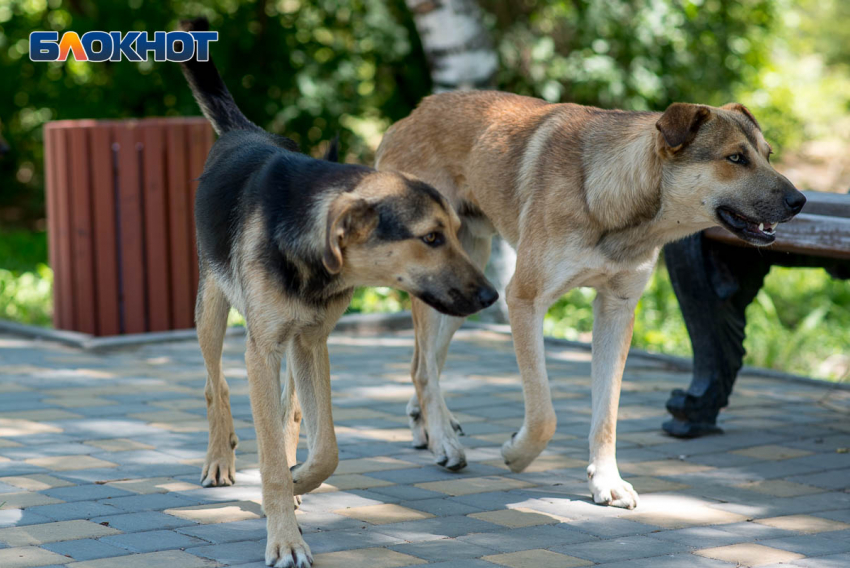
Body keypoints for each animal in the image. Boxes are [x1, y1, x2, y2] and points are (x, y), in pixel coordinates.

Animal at [181, 18, 496, 568]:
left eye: (456, 234)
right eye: (431, 238)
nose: (491, 297)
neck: (310, 253)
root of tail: (245, 131)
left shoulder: (311, 343)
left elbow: (324, 445)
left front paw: (296, 481)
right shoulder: (262, 350)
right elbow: (267, 447)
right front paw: (284, 536)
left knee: (288, 412)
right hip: (212, 311)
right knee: (214, 385)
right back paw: (220, 459)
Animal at [374, 91, 804, 508]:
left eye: (767, 155)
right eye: (735, 158)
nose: (800, 201)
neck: (612, 201)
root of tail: (410, 116)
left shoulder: (616, 311)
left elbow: (607, 414)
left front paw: (606, 481)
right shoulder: (524, 300)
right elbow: (543, 414)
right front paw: (517, 453)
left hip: (463, 286)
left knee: (424, 362)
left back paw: (428, 426)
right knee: (424, 369)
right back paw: (444, 442)